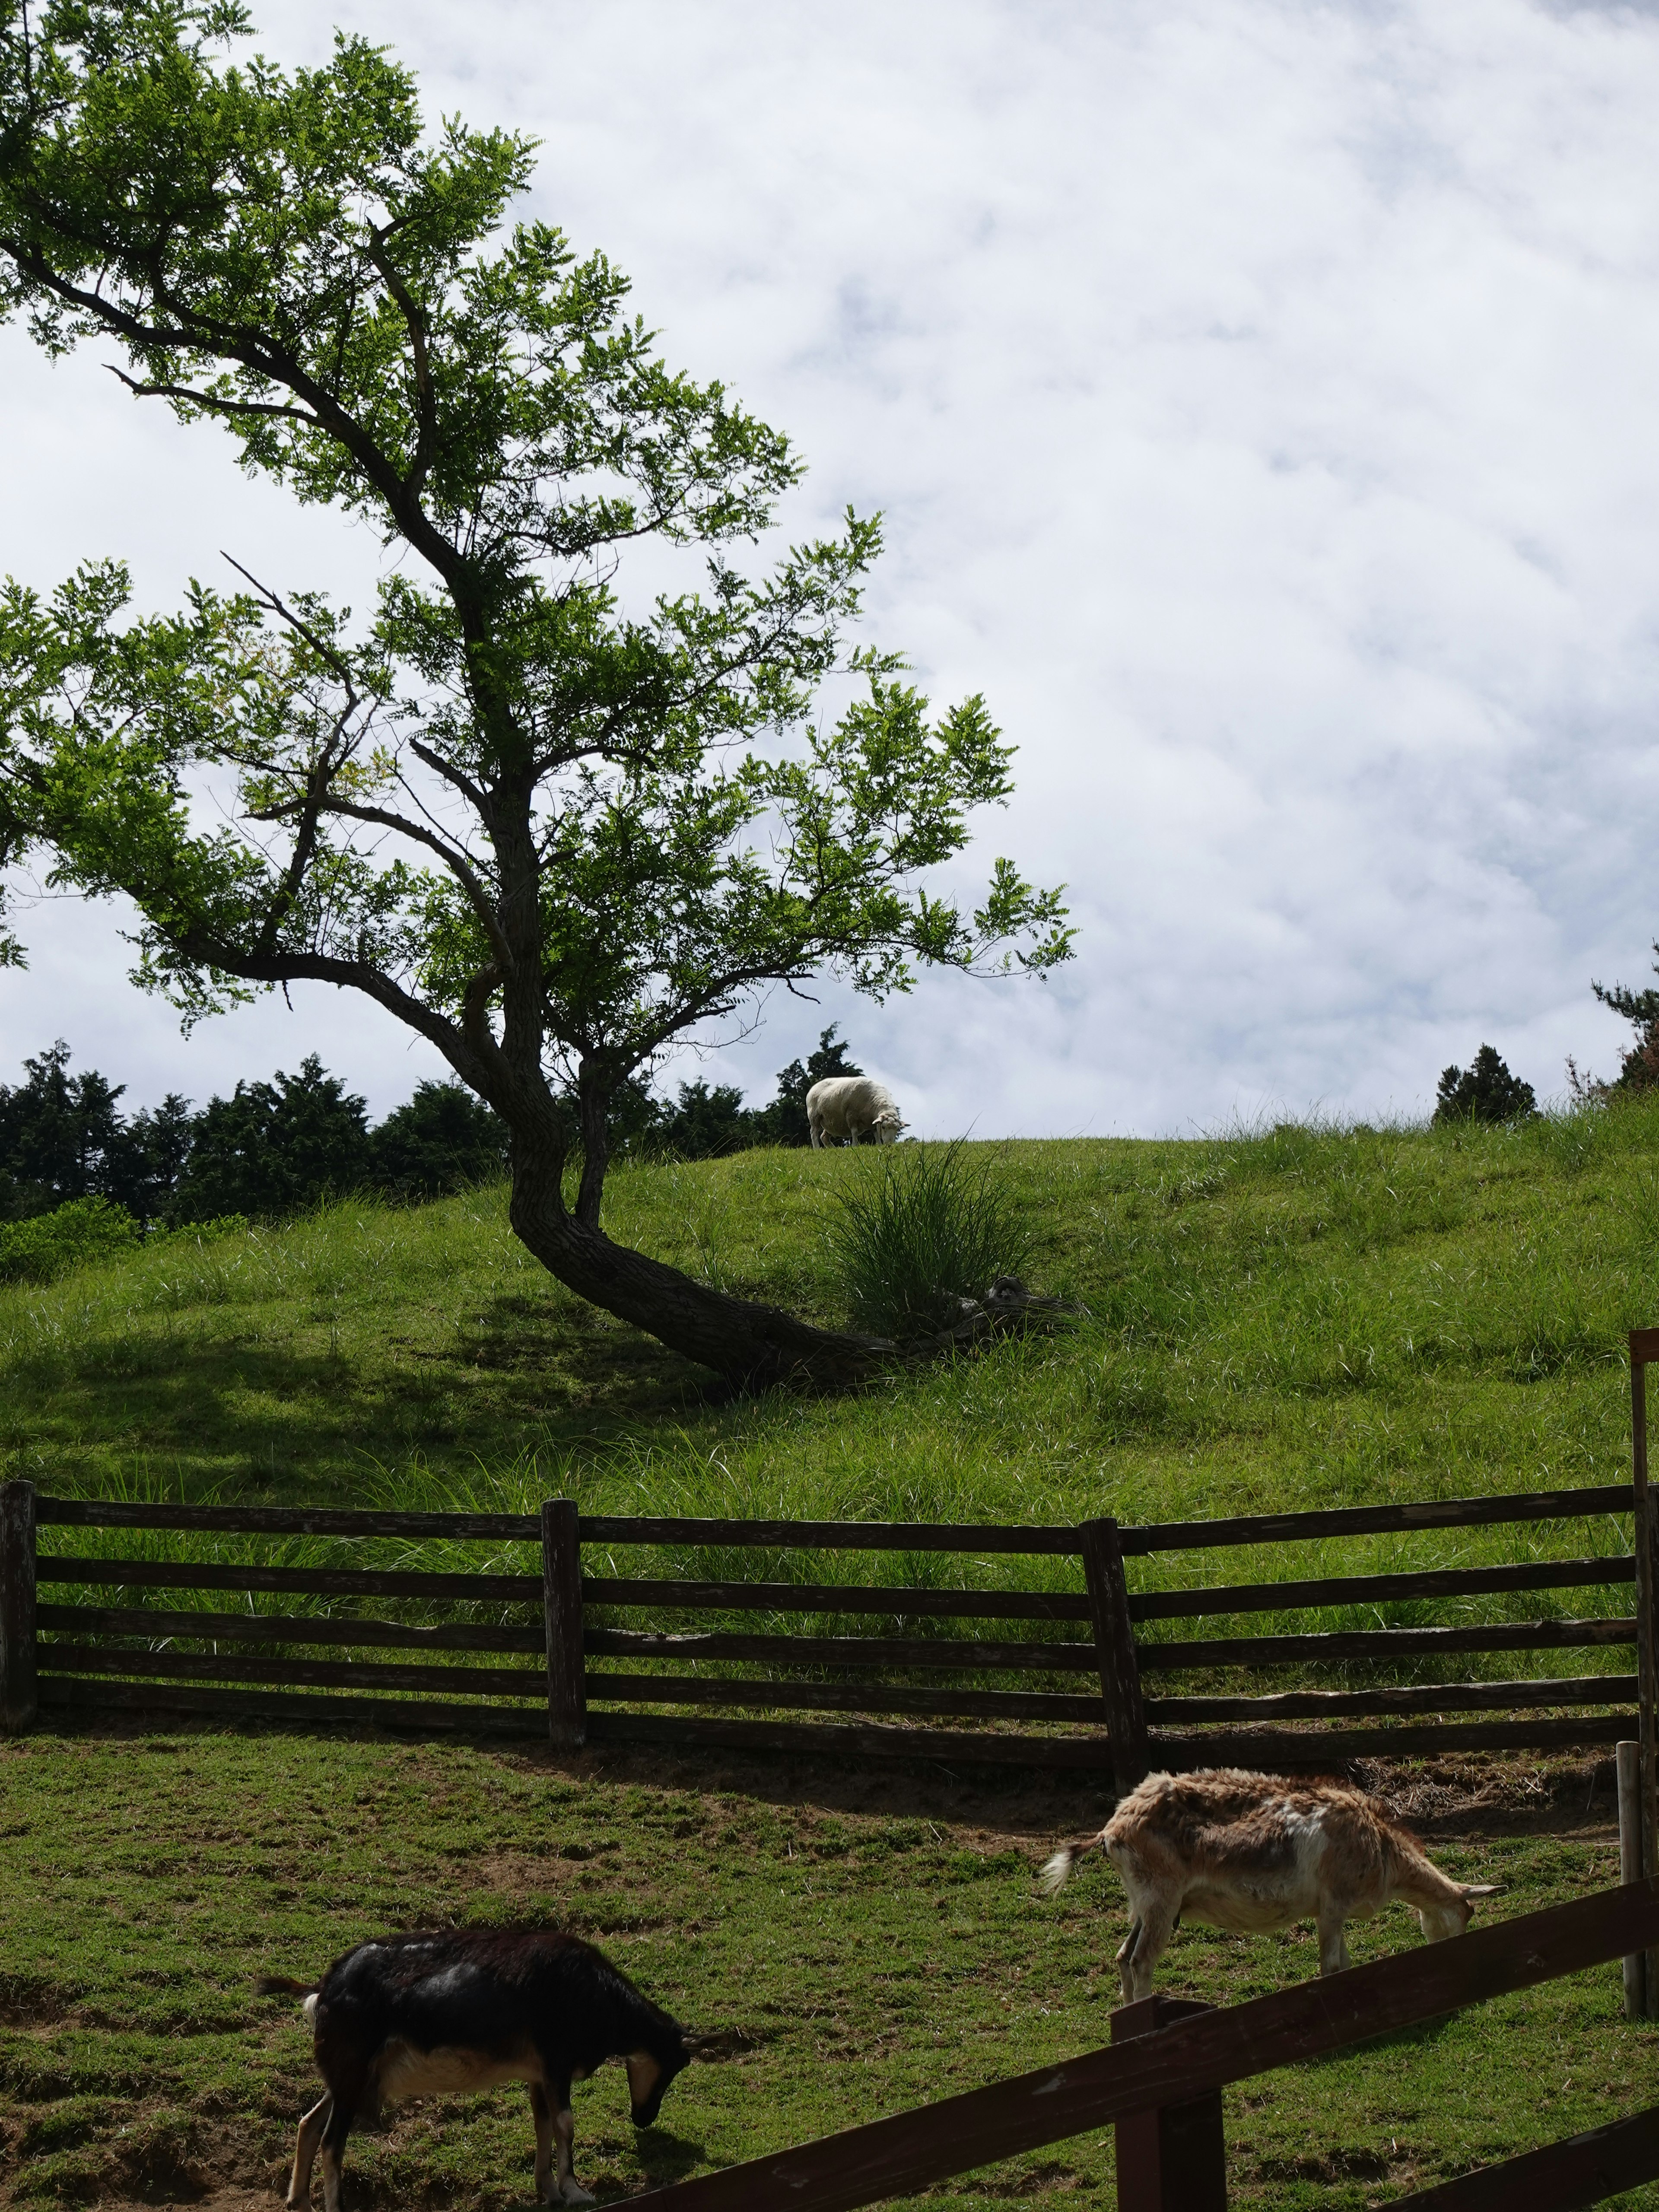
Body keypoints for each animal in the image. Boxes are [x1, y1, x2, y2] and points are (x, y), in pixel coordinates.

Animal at [263, 1929, 690, 2203]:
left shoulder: (539, 2076)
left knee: (309, 2124)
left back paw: (299, 2200)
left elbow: (543, 2124)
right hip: (352, 2075)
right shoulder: (557, 2064)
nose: (644, 2118)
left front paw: (548, 2188)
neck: (594, 1992)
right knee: (331, 2143)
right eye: (671, 2069)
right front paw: (575, 2190)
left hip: (348, 2079)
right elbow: (566, 2125)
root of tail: (324, 1989)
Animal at [809, 1079, 902, 1150]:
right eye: (883, 1127)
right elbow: (855, 1132)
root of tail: (815, 1086)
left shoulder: (873, 1124)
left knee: (824, 1137)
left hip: (831, 1123)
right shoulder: (851, 1116)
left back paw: (834, 1149)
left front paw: (879, 1145)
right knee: (814, 1133)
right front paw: (855, 1146)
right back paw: (817, 1148)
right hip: (814, 1116)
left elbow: (876, 1135)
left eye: (898, 1129)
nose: (889, 1145)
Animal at [1044, 1761, 1504, 2008]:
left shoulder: (1330, 1910)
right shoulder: (1334, 1903)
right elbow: (1331, 1966)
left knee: (1124, 1957)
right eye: (1466, 1919)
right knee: (1141, 1961)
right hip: (1160, 1898)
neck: (1382, 1848)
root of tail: (1112, 1828)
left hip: (1146, 1901)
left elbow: (1344, 1963)